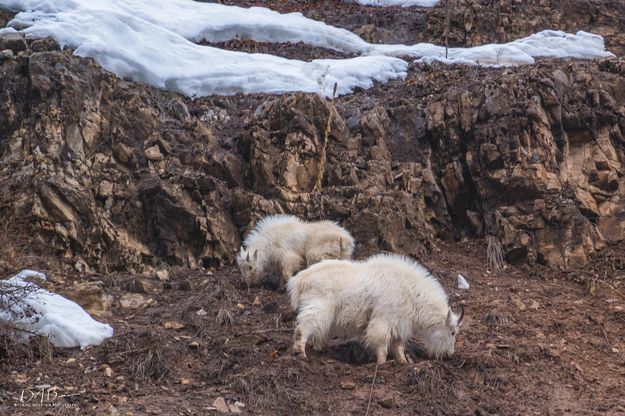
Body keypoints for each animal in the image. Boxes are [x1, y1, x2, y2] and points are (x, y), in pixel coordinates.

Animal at [288, 252, 464, 362]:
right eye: (453, 332)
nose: (450, 355)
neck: (411, 292)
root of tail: (299, 280)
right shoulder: (384, 320)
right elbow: (382, 343)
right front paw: (382, 363)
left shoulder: (399, 323)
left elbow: (398, 345)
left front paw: (403, 362)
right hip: (318, 308)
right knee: (303, 327)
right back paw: (300, 353)